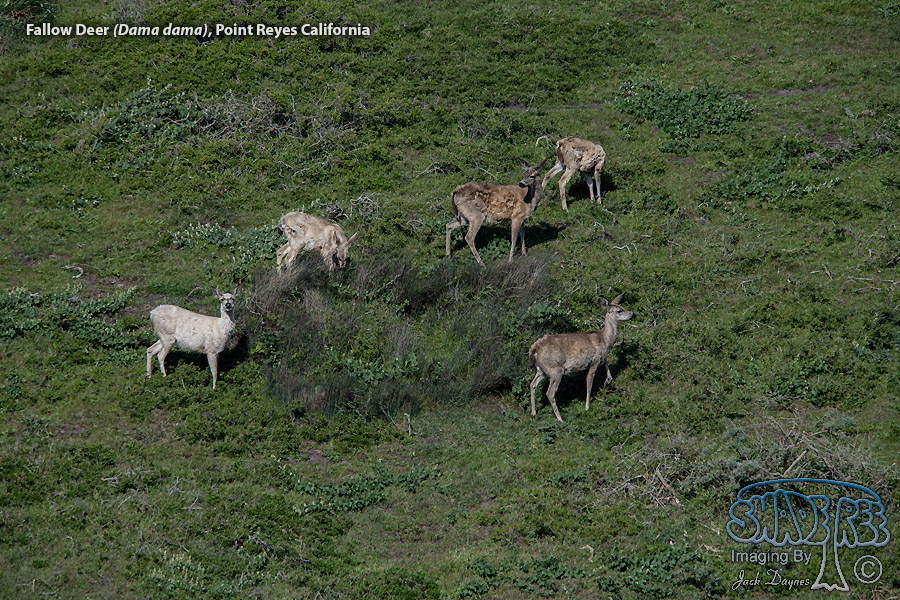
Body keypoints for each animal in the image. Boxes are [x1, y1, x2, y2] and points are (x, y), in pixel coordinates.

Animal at [528, 292, 633, 422]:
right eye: (619, 310)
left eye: (622, 306)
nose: (632, 314)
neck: (604, 339)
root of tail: (535, 349)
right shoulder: (593, 362)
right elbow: (589, 385)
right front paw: (587, 407)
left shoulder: (601, 357)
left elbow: (607, 363)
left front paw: (608, 380)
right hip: (555, 370)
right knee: (550, 393)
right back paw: (560, 418)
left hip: (541, 370)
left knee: (533, 384)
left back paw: (534, 413)